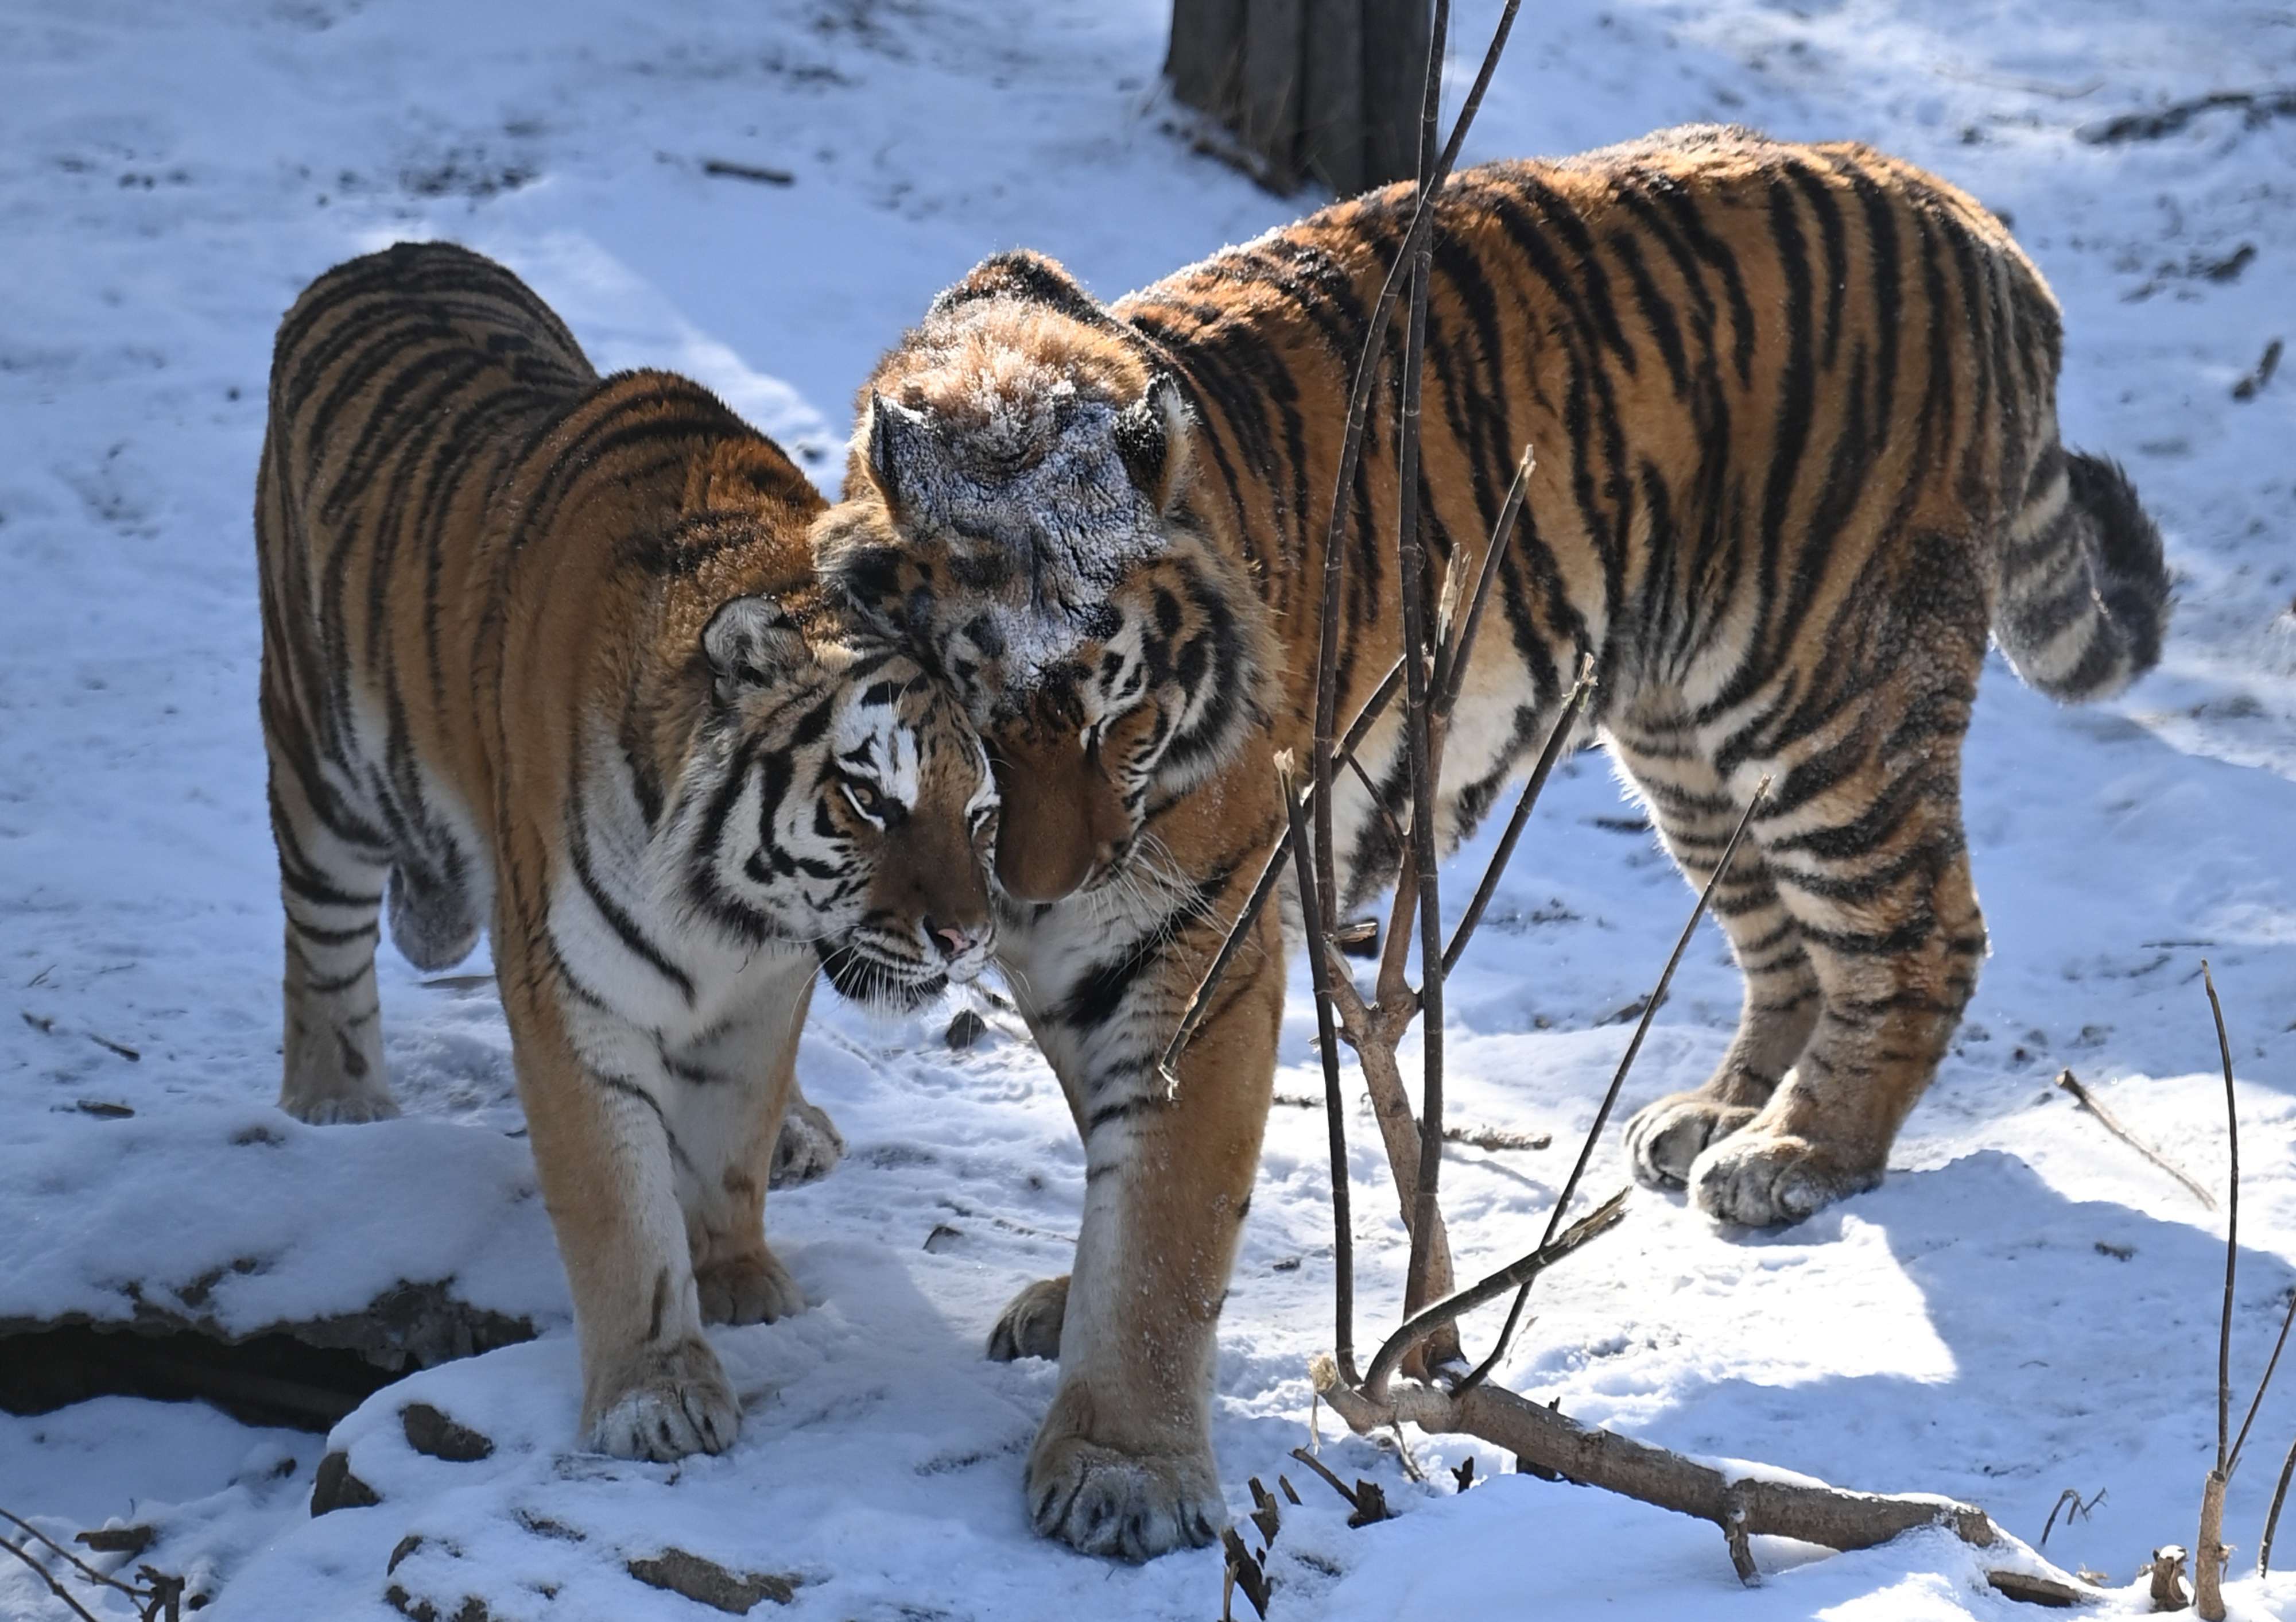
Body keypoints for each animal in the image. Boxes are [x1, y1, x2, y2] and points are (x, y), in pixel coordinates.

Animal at [261, 243, 996, 1470]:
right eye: (868, 798)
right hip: (322, 761)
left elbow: (729, 1143)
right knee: (322, 948)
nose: (966, 937)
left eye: (978, 814)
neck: (731, 909)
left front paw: (742, 1281)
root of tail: (391, 252)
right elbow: (620, 1207)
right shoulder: (572, 991)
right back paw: (337, 1109)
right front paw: (658, 1395)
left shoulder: (764, 991)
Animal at [817, 120, 2177, 1543]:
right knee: (1786, 944)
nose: (1046, 880)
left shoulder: (1185, 941)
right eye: (972, 702)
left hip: (1827, 699)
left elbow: (1162, 1221)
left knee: (1917, 940)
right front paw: (1065, 1315)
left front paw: (1121, 1467)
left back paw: (1794, 1151)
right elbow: (1108, 1161)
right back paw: (1713, 1113)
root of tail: (1965, 216)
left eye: (1116, 709)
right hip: (1690, 739)